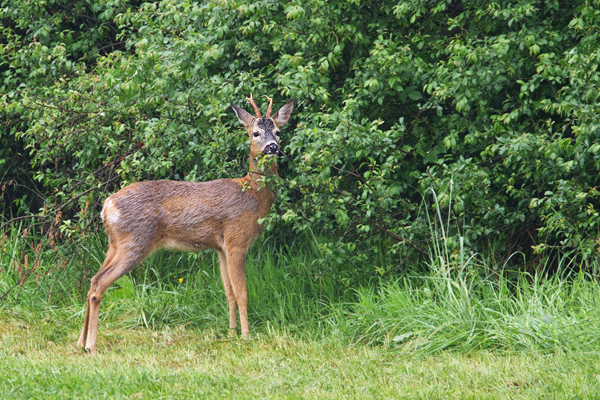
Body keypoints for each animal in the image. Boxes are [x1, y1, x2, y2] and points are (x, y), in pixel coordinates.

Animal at [78, 95, 296, 354]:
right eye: (255, 133)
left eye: (278, 131)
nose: (272, 147)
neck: (252, 194)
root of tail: (106, 207)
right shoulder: (236, 240)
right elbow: (242, 292)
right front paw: (245, 336)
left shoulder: (220, 248)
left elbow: (229, 292)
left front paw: (231, 333)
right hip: (135, 242)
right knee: (99, 283)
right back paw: (91, 346)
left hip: (115, 244)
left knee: (93, 279)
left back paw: (80, 342)